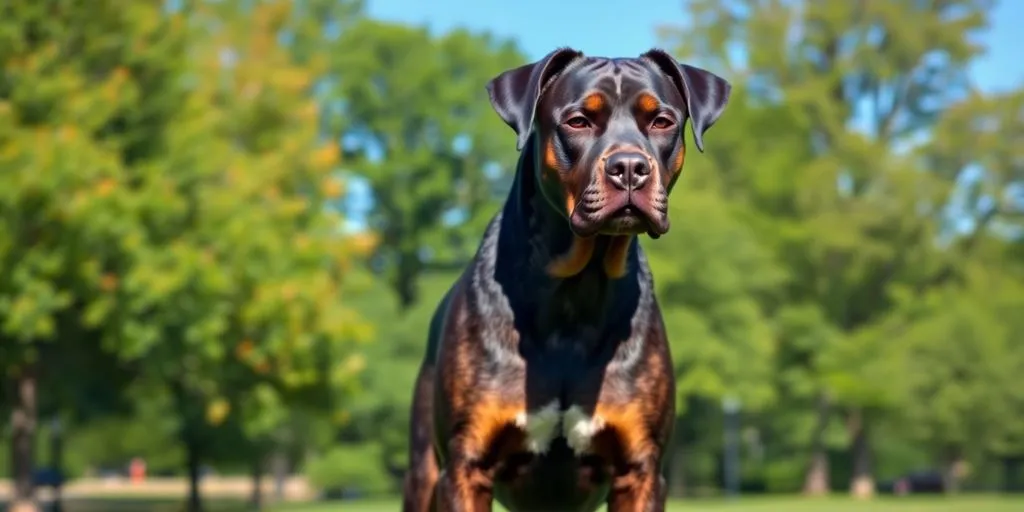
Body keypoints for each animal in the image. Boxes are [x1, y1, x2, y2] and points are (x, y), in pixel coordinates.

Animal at [399, 48, 729, 512]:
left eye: (662, 121)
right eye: (578, 121)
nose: (630, 167)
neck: (575, 293)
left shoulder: (641, 472)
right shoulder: (465, 468)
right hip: (423, 471)